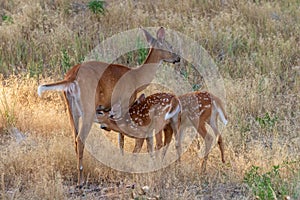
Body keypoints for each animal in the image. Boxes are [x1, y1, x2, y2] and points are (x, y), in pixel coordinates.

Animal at [36, 27, 179, 186]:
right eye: (169, 45)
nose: (177, 58)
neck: (137, 78)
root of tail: (71, 76)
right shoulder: (124, 102)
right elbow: (122, 137)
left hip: (71, 110)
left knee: (74, 138)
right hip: (88, 107)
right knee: (80, 139)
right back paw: (81, 179)